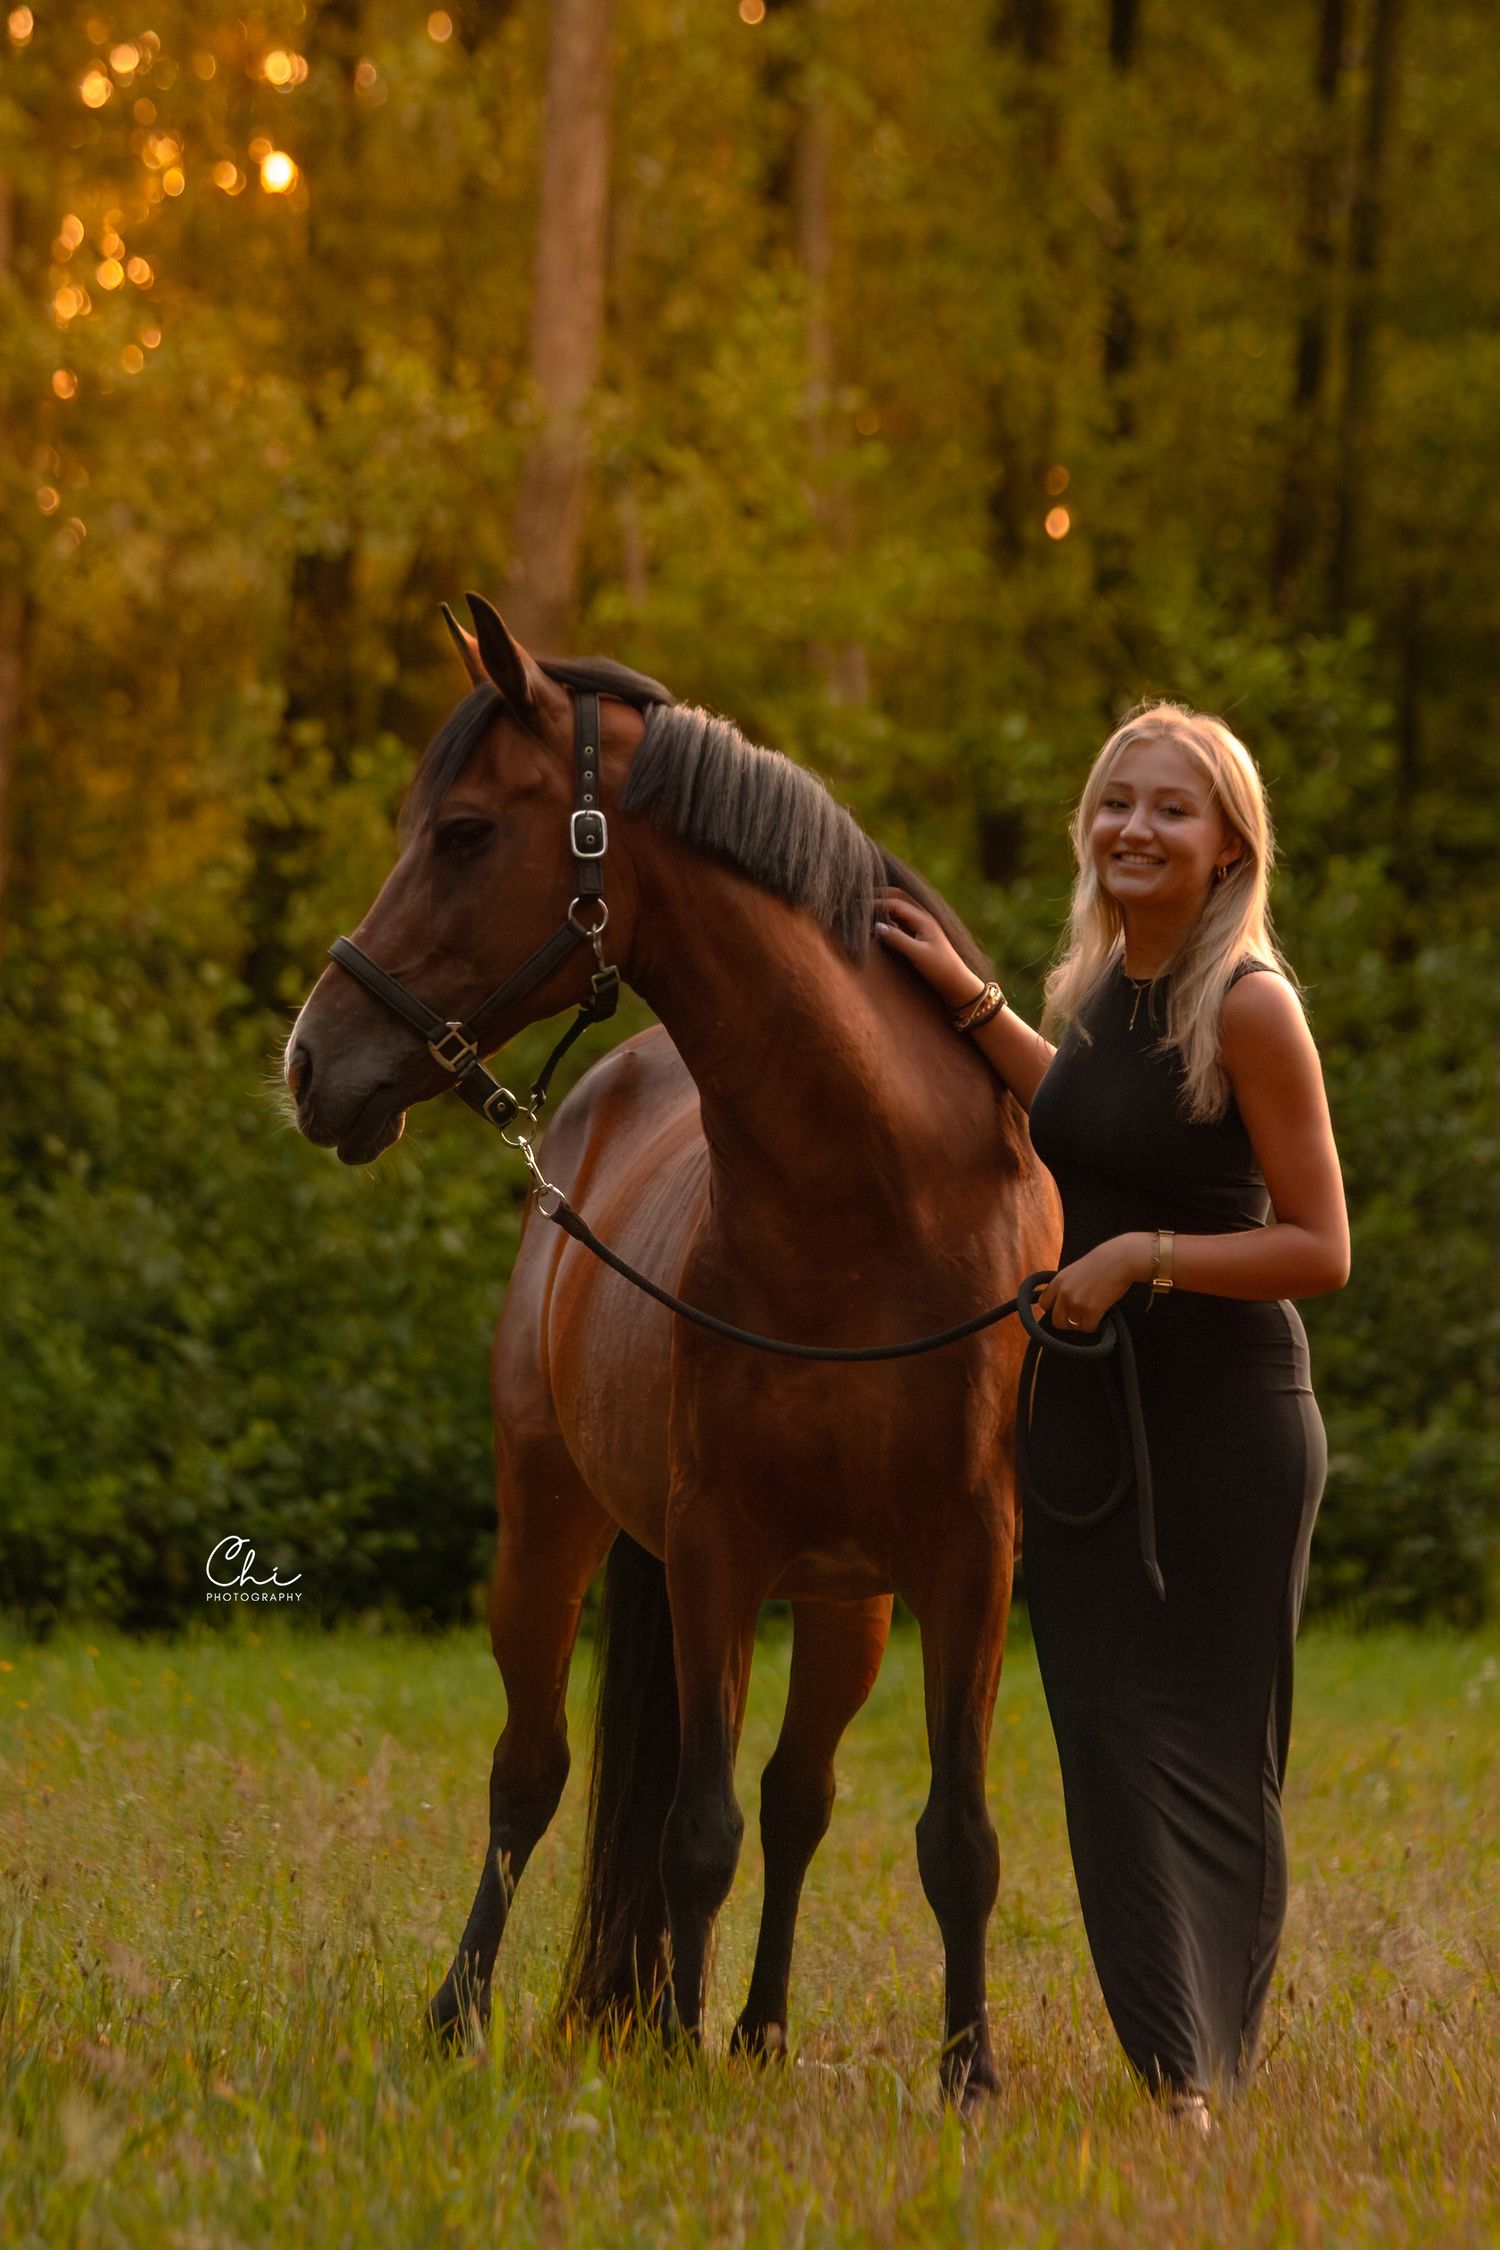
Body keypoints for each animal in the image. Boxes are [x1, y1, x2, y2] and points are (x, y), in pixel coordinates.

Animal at [285, 596, 1059, 2099]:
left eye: (463, 831)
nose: (309, 1063)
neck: (871, 1197)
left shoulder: (969, 1557)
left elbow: (956, 1833)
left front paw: (968, 2073)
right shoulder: (713, 1547)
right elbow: (690, 1829)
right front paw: (670, 2059)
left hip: (845, 1601)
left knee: (798, 1794)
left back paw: (757, 2028)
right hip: (549, 1528)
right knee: (530, 1770)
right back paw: (467, 2013)